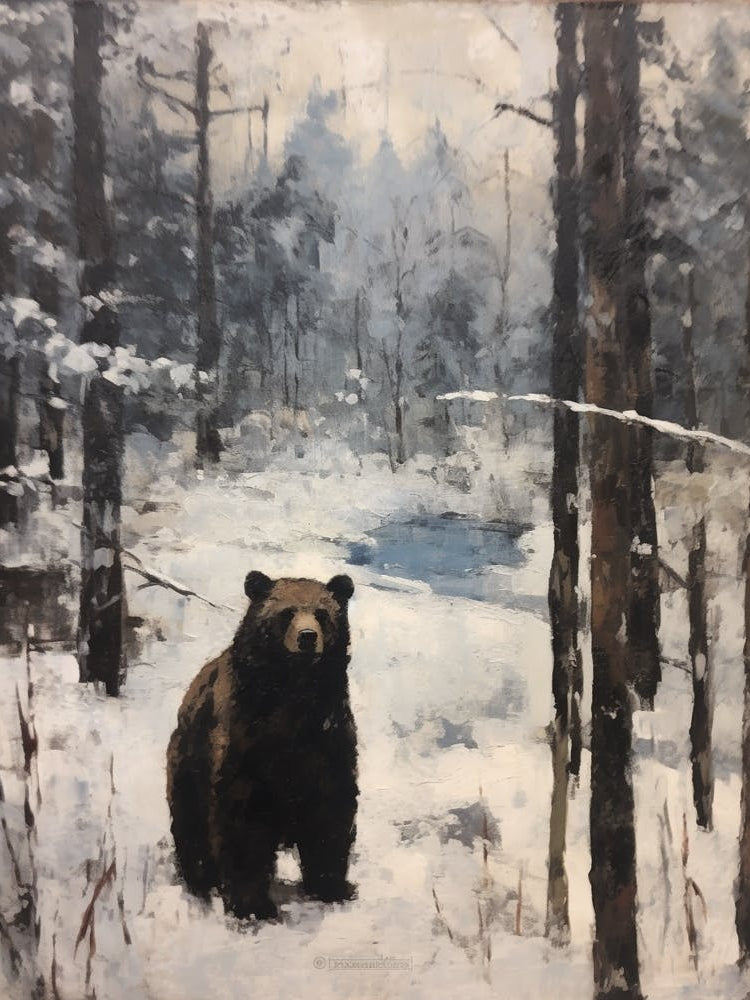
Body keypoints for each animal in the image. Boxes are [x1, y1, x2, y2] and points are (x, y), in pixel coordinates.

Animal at [166, 571, 357, 921]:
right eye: (286, 613)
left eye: (322, 613)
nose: (308, 637)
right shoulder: (246, 744)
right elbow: (243, 822)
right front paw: (252, 904)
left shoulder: (327, 739)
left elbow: (331, 810)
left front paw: (332, 886)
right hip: (189, 757)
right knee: (191, 820)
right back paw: (200, 876)